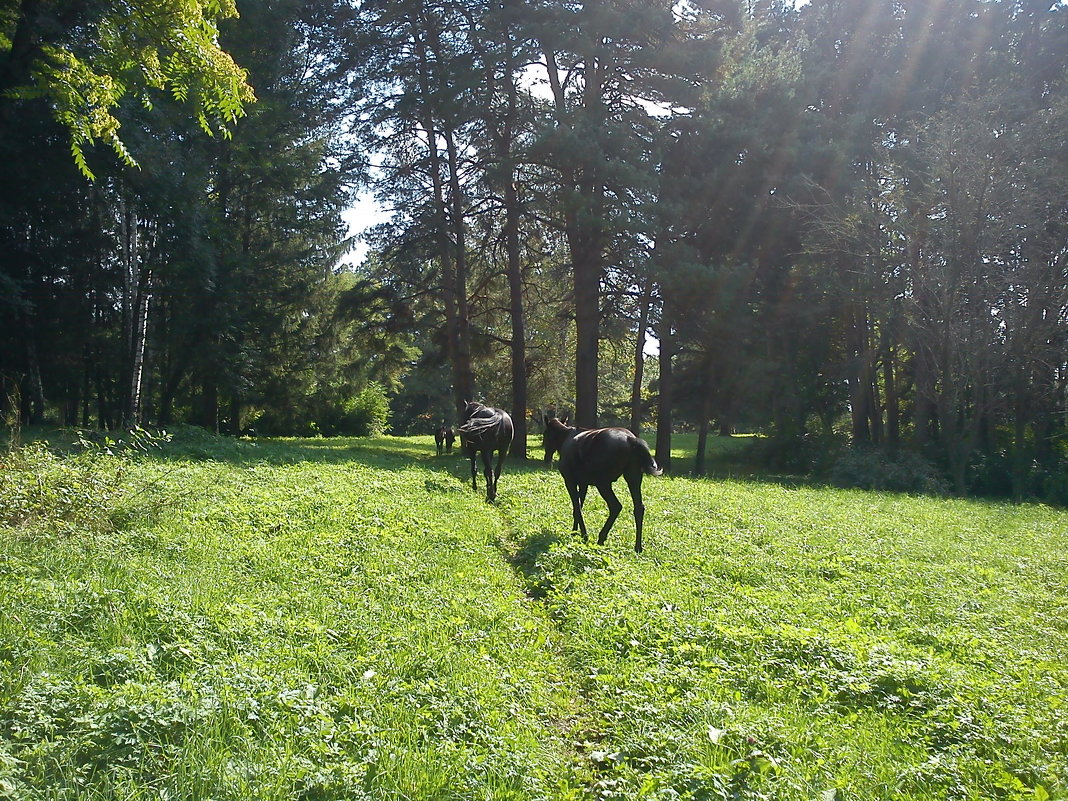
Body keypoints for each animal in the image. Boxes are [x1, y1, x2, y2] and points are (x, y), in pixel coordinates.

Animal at [546, 416, 662, 555]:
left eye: (546, 434)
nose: (547, 457)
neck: (565, 437)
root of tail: (630, 439)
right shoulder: (583, 483)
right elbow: (578, 507)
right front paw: (575, 531)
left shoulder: (570, 481)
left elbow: (577, 508)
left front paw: (583, 535)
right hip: (633, 478)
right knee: (639, 508)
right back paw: (638, 546)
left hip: (603, 483)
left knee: (616, 506)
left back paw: (601, 538)